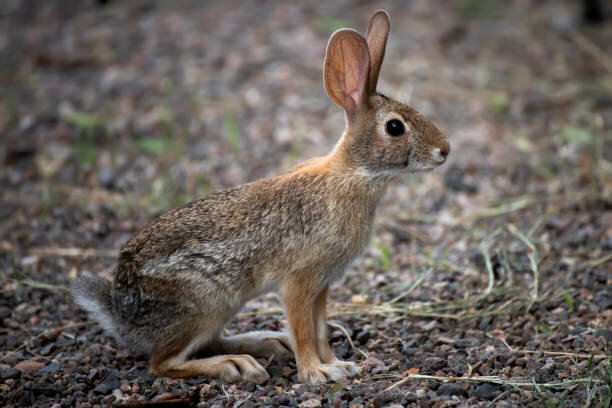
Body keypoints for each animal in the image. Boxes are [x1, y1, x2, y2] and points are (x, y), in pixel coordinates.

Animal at [71, 10, 450, 386]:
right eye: (395, 127)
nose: (445, 150)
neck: (353, 173)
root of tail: (121, 311)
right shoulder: (300, 281)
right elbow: (304, 330)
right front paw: (317, 372)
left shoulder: (322, 284)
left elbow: (320, 329)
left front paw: (338, 365)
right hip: (202, 305)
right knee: (163, 362)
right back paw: (235, 365)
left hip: (222, 307)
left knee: (208, 342)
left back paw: (265, 343)